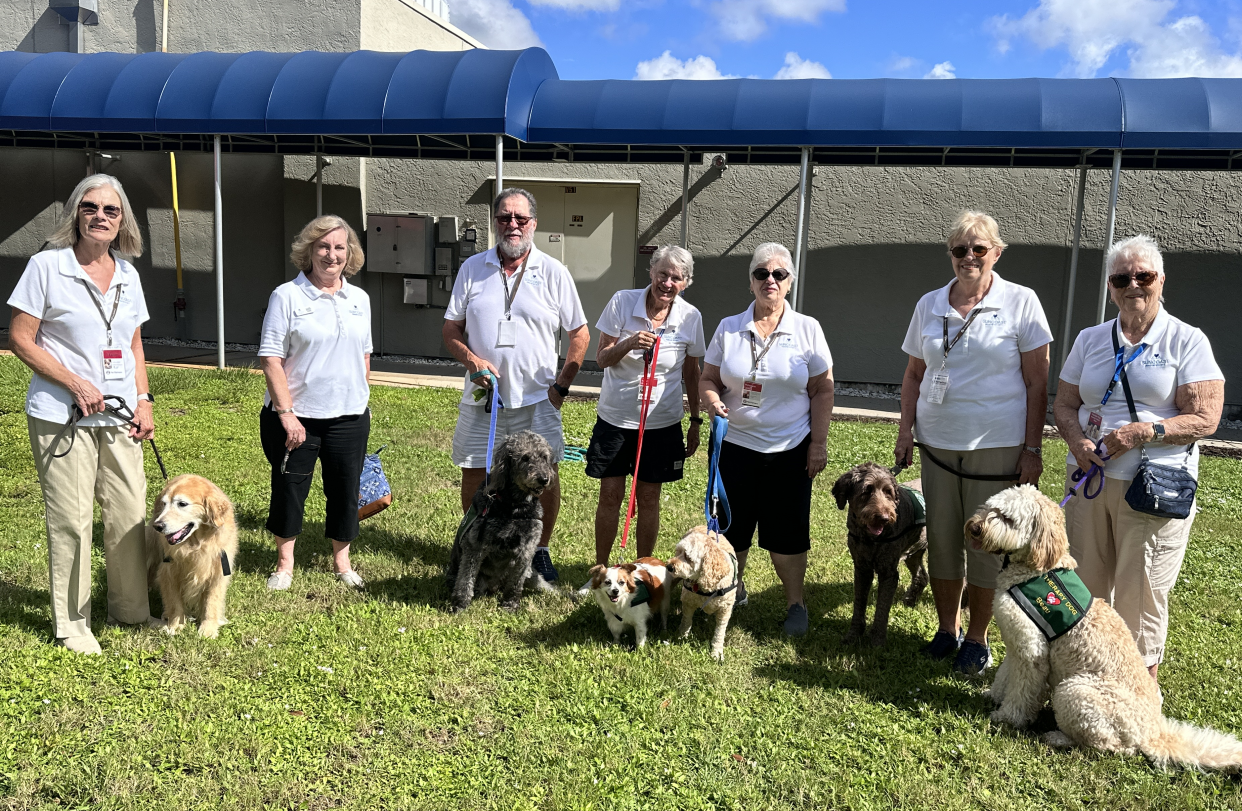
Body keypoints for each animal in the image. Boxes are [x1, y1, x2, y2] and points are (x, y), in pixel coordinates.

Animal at [145, 474, 239, 640]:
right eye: (164, 504)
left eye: (182, 504)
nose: (158, 526)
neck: (195, 546)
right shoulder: (169, 572)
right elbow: (174, 602)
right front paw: (175, 626)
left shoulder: (218, 571)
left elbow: (211, 603)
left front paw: (208, 629)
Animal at [447, 429, 553, 606]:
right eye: (525, 457)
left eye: (544, 457)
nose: (544, 479)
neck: (515, 508)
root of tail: (495, 587)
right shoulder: (475, 546)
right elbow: (465, 579)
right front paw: (459, 604)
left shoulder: (527, 550)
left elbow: (516, 583)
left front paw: (510, 604)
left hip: (532, 574)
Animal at [670, 524, 735, 665]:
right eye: (678, 552)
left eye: (688, 558)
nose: (669, 566)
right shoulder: (688, 602)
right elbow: (686, 620)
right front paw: (681, 636)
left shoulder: (725, 610)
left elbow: (719, 632)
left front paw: (717, 652)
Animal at [968, 484, 1242, 770]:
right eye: (990, 507)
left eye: (1007, 518)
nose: (974, 527)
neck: (1036, 570)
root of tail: (1152, 733)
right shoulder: (1018, 643)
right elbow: (1004, 675)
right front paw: (993, 695)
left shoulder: (1032, 654)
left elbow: (1021, 691)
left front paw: (1008, 717)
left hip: (1074, 692)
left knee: (1110, 746)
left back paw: (1058, 737)